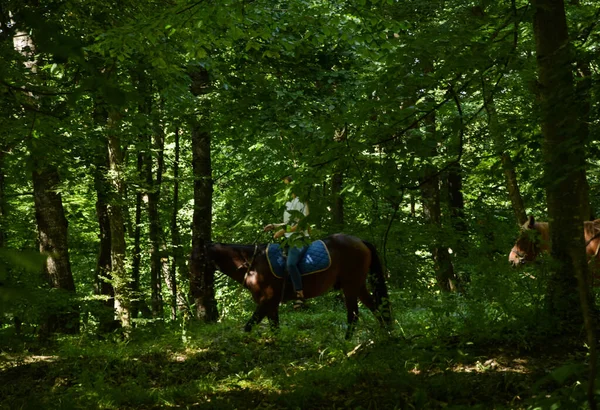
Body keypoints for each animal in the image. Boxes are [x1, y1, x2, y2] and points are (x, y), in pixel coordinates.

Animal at [206, 234, 394, 340]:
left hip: (350, 287)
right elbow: (275, 328)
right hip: (358, 286)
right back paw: (386, 336)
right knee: (377, 309)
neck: (253, 265)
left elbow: (249, 326)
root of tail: (360, 241)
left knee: (353, 315)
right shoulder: (271, 305)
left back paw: (347, 343)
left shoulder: (267, 301)